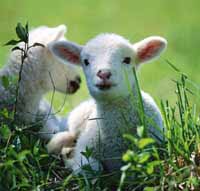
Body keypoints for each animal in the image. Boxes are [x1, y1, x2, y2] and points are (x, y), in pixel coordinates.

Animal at [47, 32, 167, 172]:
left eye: (127, 60)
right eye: (86, 62)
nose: (104, 73)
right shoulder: (85, 148)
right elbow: (92, 168)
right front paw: (70, 160)